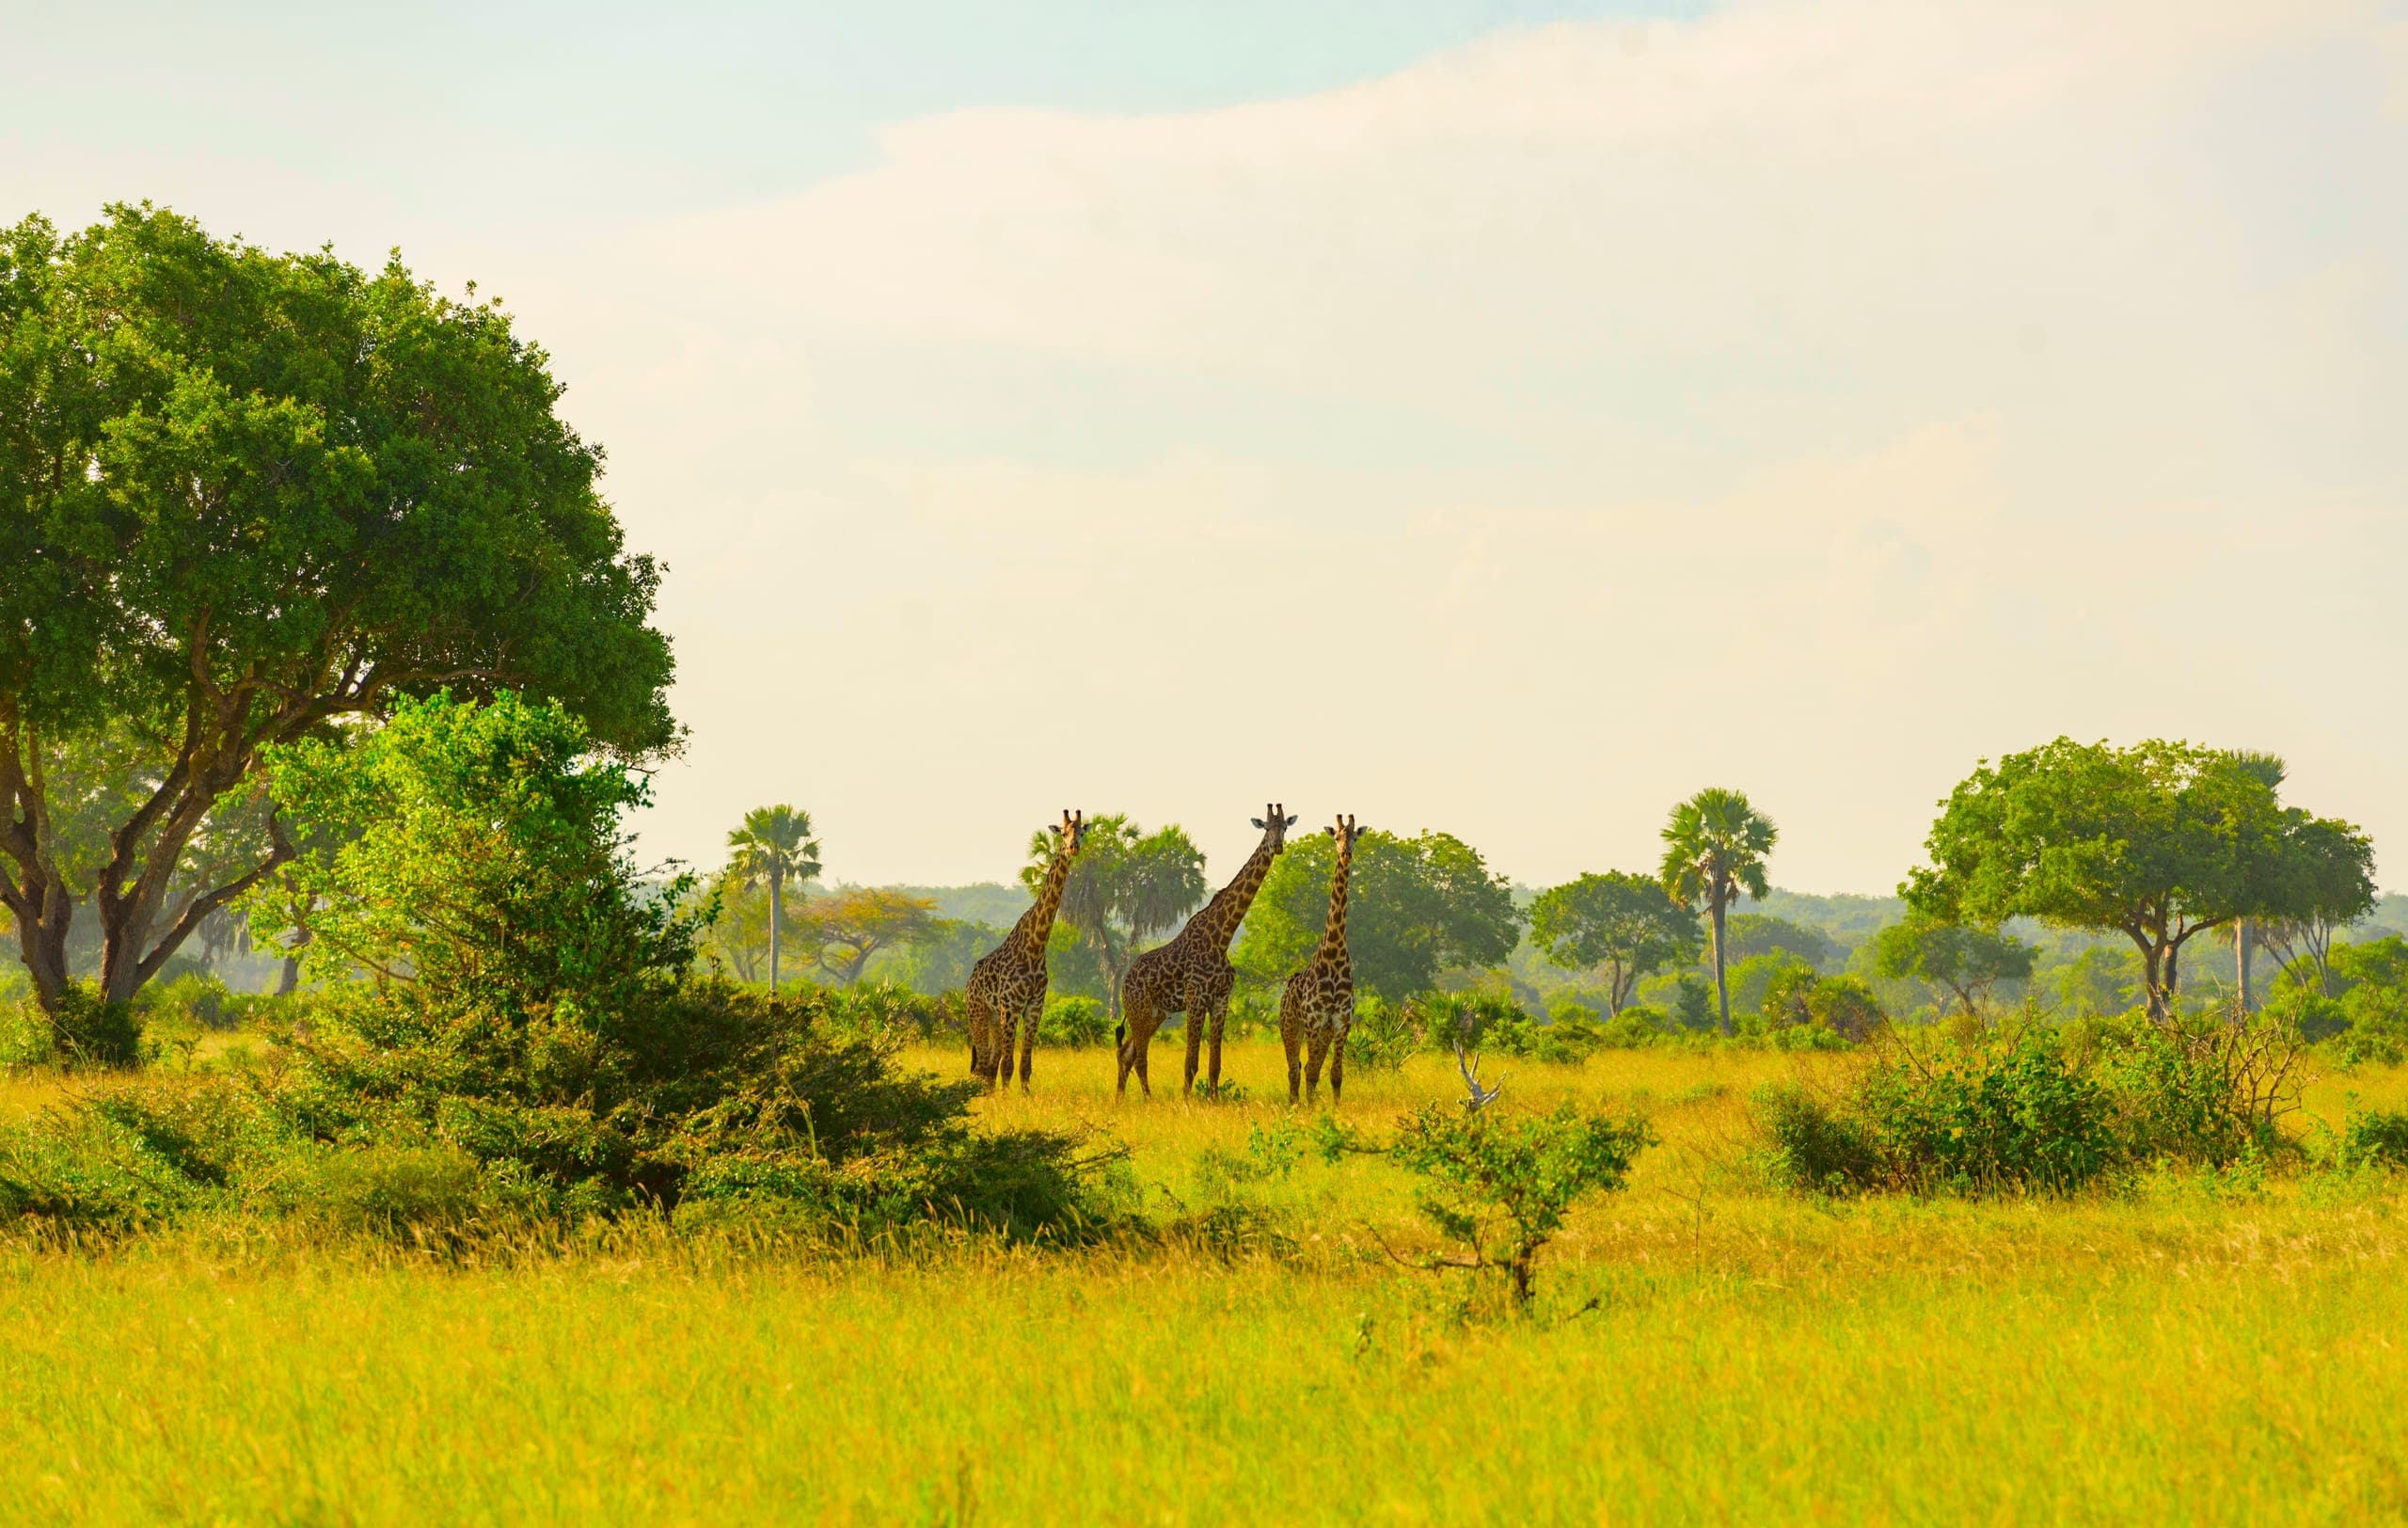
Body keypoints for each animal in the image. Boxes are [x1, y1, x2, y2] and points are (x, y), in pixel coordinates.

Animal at [966, 809, 1086, 1092]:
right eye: (1063, 833)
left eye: (1082, 832)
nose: (1073, 847)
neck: (1036, 946)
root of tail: (968, 983)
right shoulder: (1011, 1006)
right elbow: (1007, 1065)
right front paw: (1008, 1099)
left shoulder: (1034, 1006)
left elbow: (1024, 1066)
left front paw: (1025, 1096)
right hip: (977, 1014)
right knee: (981, 1066)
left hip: (993, 1019)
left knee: (988, 1067)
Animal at [1115, 804, 1296, 1099]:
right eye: (1267, 828)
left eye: (1285, 828)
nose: (1277, 846)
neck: (1222, 937)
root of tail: (1124, 981)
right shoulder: (1196, 998)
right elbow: (1190, 1061)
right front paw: (1186, 1101)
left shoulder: (1221, 1000)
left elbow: (1215, 1064)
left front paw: (1213, 1100)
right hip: (1138, 1010)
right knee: (1139, 1057)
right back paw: (1148, 1100)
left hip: (1155, 1014)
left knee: (1126, 1053)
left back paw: (1120, 1100)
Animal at [1282, 813, 1363, 1105]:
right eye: (1336, 836)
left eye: (1355, 837)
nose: (1346, 853)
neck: (1334, 955)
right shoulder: (1314, 1021)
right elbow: (1311, 1072)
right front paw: (1310, 1109)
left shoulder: (1341, 1022)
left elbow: (1335, 1074)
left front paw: (1334, 1109)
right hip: (1290, 1026)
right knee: (1294, 1068)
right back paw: (1294, 1104)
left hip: (1322, 1032)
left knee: (1305, 1067)